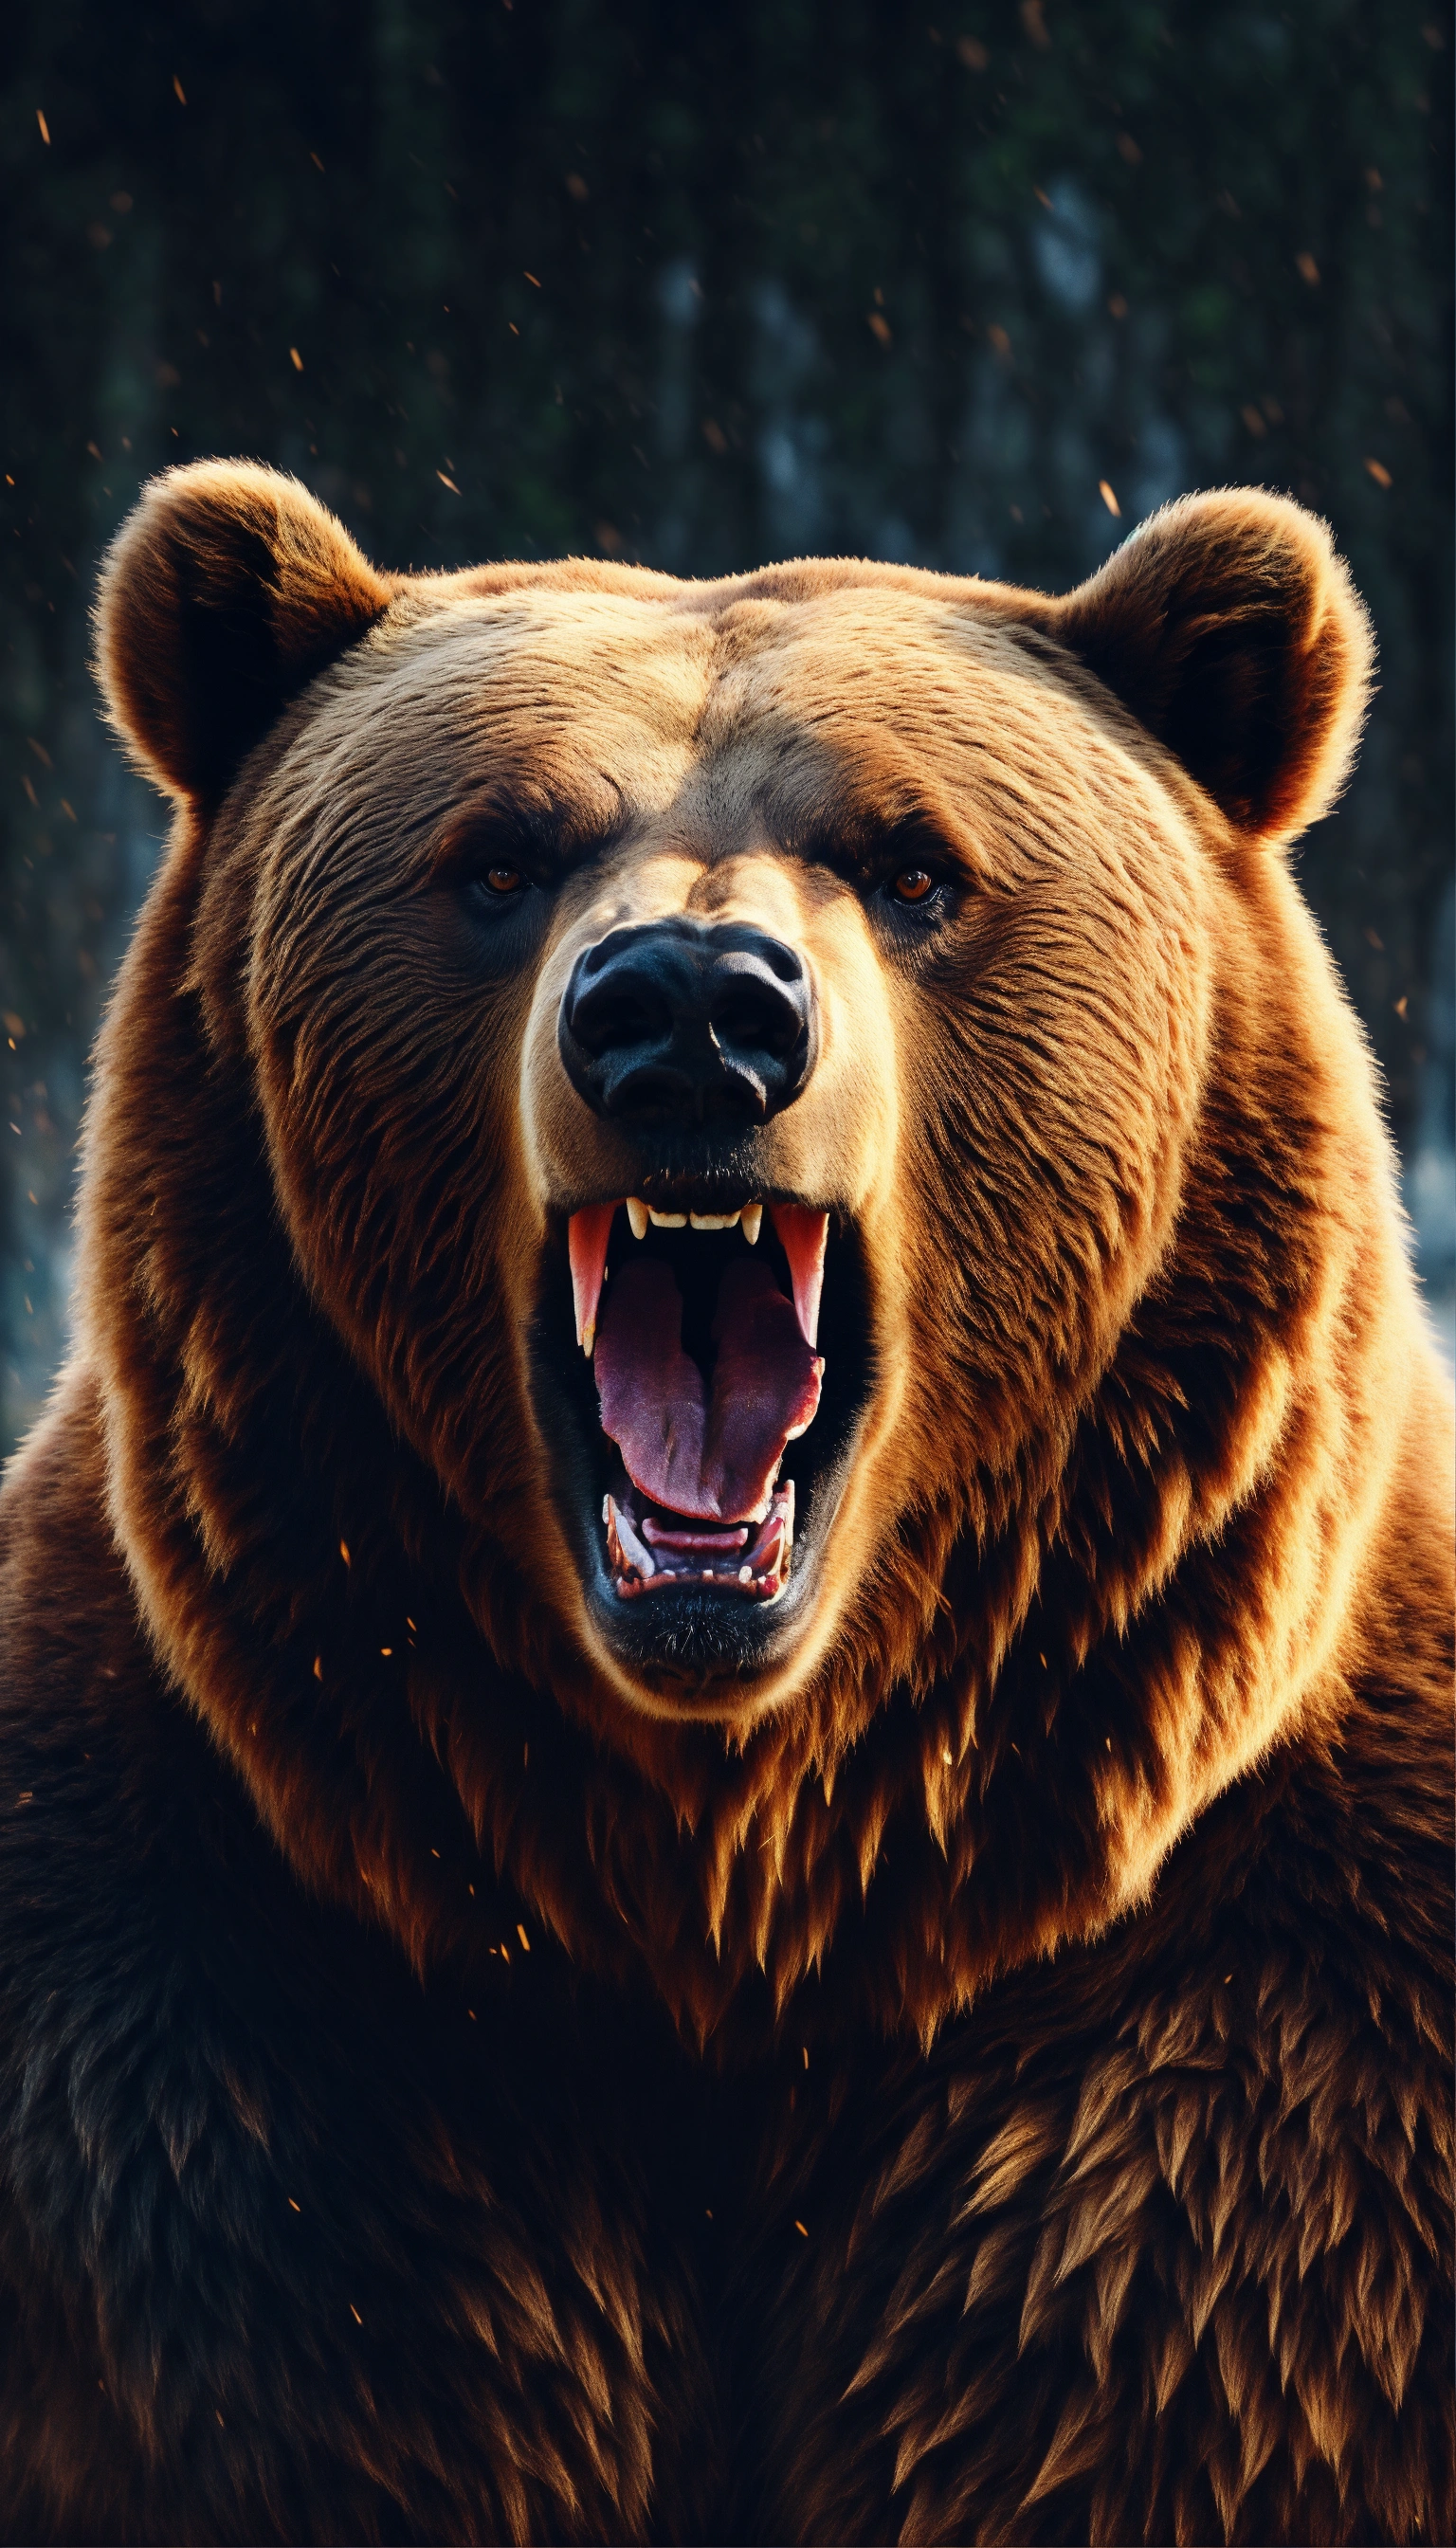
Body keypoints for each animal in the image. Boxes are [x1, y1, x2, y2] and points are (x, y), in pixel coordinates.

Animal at [0, 457, 1449, 2545]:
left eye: (916, 864)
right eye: (497, 856)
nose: (690, 1009)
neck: (739, 1881)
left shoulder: (1244, 2103)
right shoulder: (217, 2065)